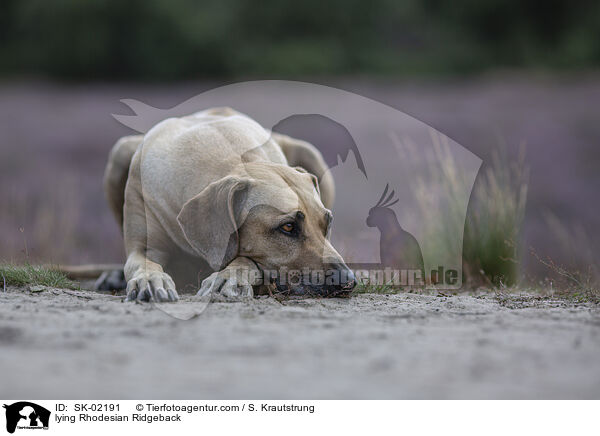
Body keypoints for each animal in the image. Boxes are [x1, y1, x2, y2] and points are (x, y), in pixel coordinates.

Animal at [103, 107, 356, 302]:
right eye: (287, 227)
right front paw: (150, 279)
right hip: (120, 152)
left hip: (310, 152)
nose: (347, 281)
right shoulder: (143, 242)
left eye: (327, 223)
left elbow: (247, 260)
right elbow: (140, 263)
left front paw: (229, 277)